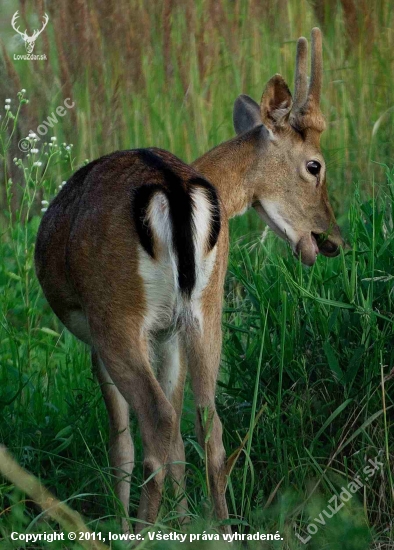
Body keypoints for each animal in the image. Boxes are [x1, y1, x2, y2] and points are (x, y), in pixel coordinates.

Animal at [34, 28, 342, 536]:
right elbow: (183, 439)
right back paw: (221, 530)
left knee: (156, 423)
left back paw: (141, 534)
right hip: (206, 311)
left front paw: (127, 525)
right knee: (208, 423)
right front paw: (183, 522)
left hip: (117, 315)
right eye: (314, 165)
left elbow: (123, 443)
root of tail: (177, 190)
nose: (333, 239)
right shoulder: (171, 332)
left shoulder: (102, 337)